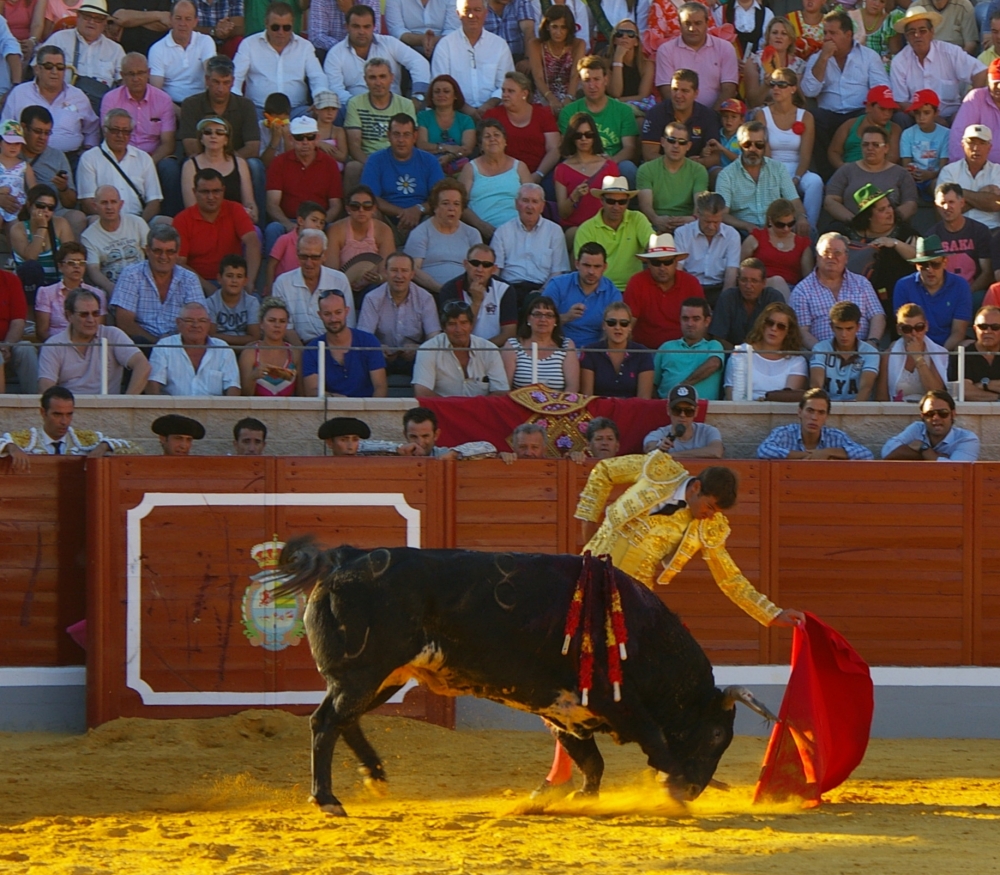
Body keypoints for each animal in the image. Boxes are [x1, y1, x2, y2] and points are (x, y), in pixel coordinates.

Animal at [272, 536, 772, 816]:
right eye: (715, 736)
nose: (695, 788)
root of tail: (346, 558)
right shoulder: (621, 703)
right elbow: (655, 745)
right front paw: (670, 789)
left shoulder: (565, 710)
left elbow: (592, 762)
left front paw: (572, 799)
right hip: (362, 673)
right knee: (324, 723)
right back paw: (327, 799)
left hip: (382, 678)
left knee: (345, 721)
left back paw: (375, 775)